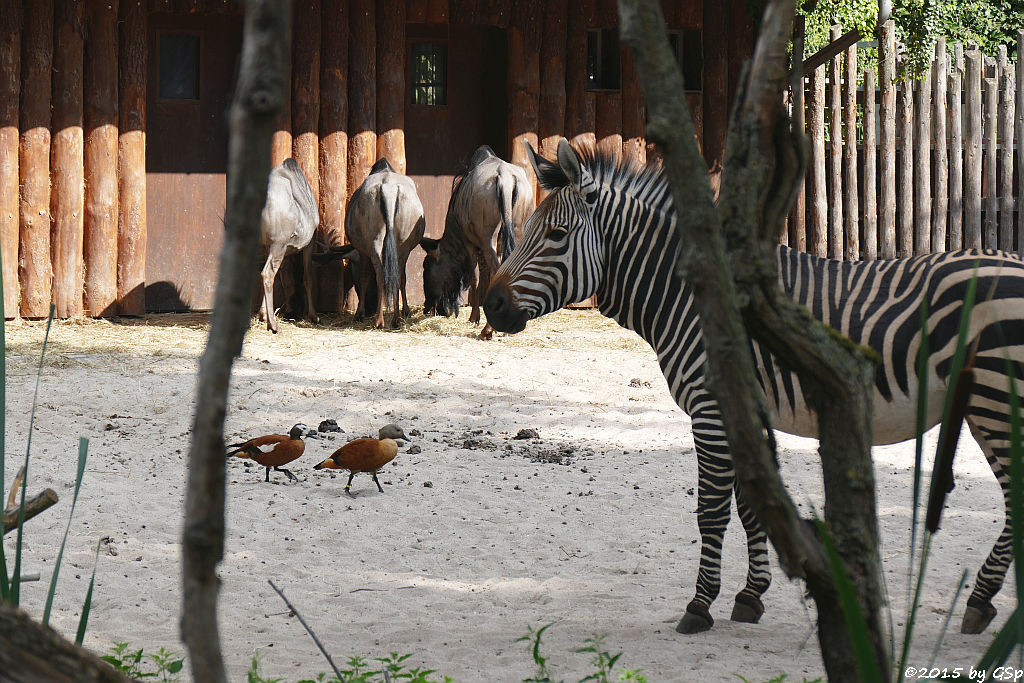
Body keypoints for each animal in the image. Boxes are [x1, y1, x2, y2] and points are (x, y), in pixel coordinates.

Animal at [483, 139, 1024, 634]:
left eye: (556, 235)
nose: (490, 305)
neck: (688, 295)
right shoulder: (743, 408)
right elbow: (751, 506)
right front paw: (750, 596)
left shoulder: (711, 406)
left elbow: (712, 510)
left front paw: (700, 605)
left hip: (995, 400)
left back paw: (979, 600)